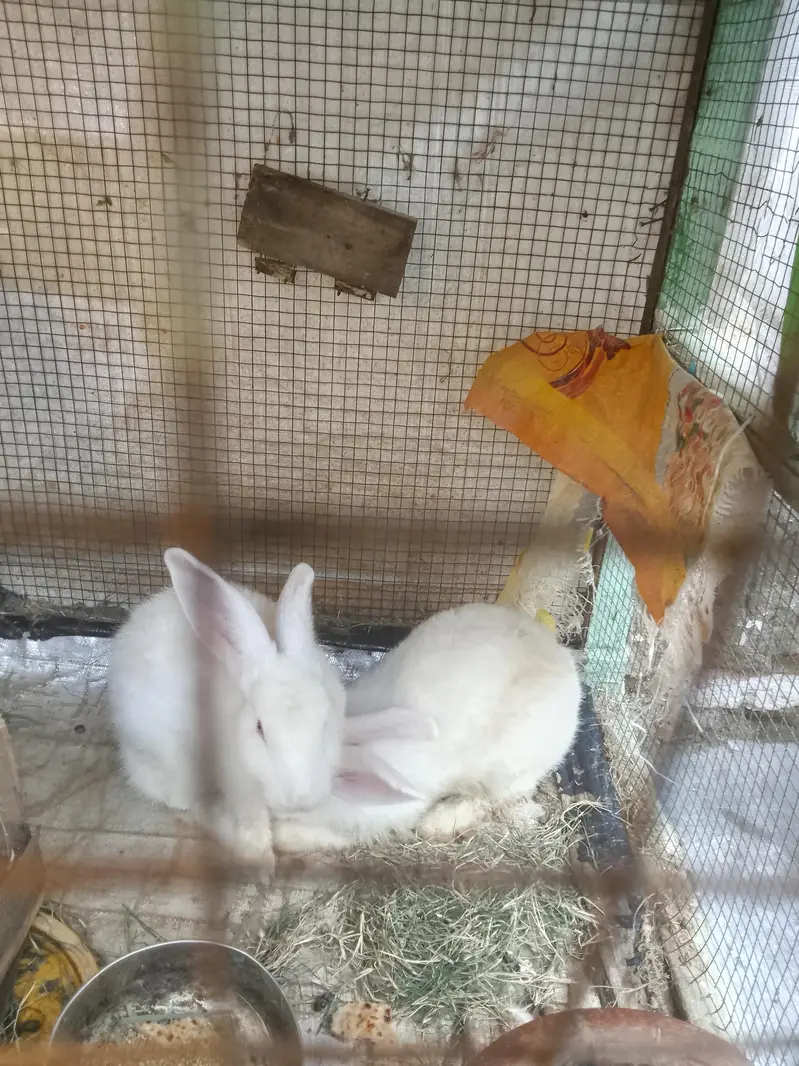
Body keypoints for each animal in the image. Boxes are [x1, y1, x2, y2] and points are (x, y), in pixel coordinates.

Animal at [107, 548, 346, 868]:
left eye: (325, 720)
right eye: (259, 728)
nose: (300, 799)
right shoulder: (239, 787)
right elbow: (252, 826)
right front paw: (262, 862)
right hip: (175, 763)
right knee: (190, 806)